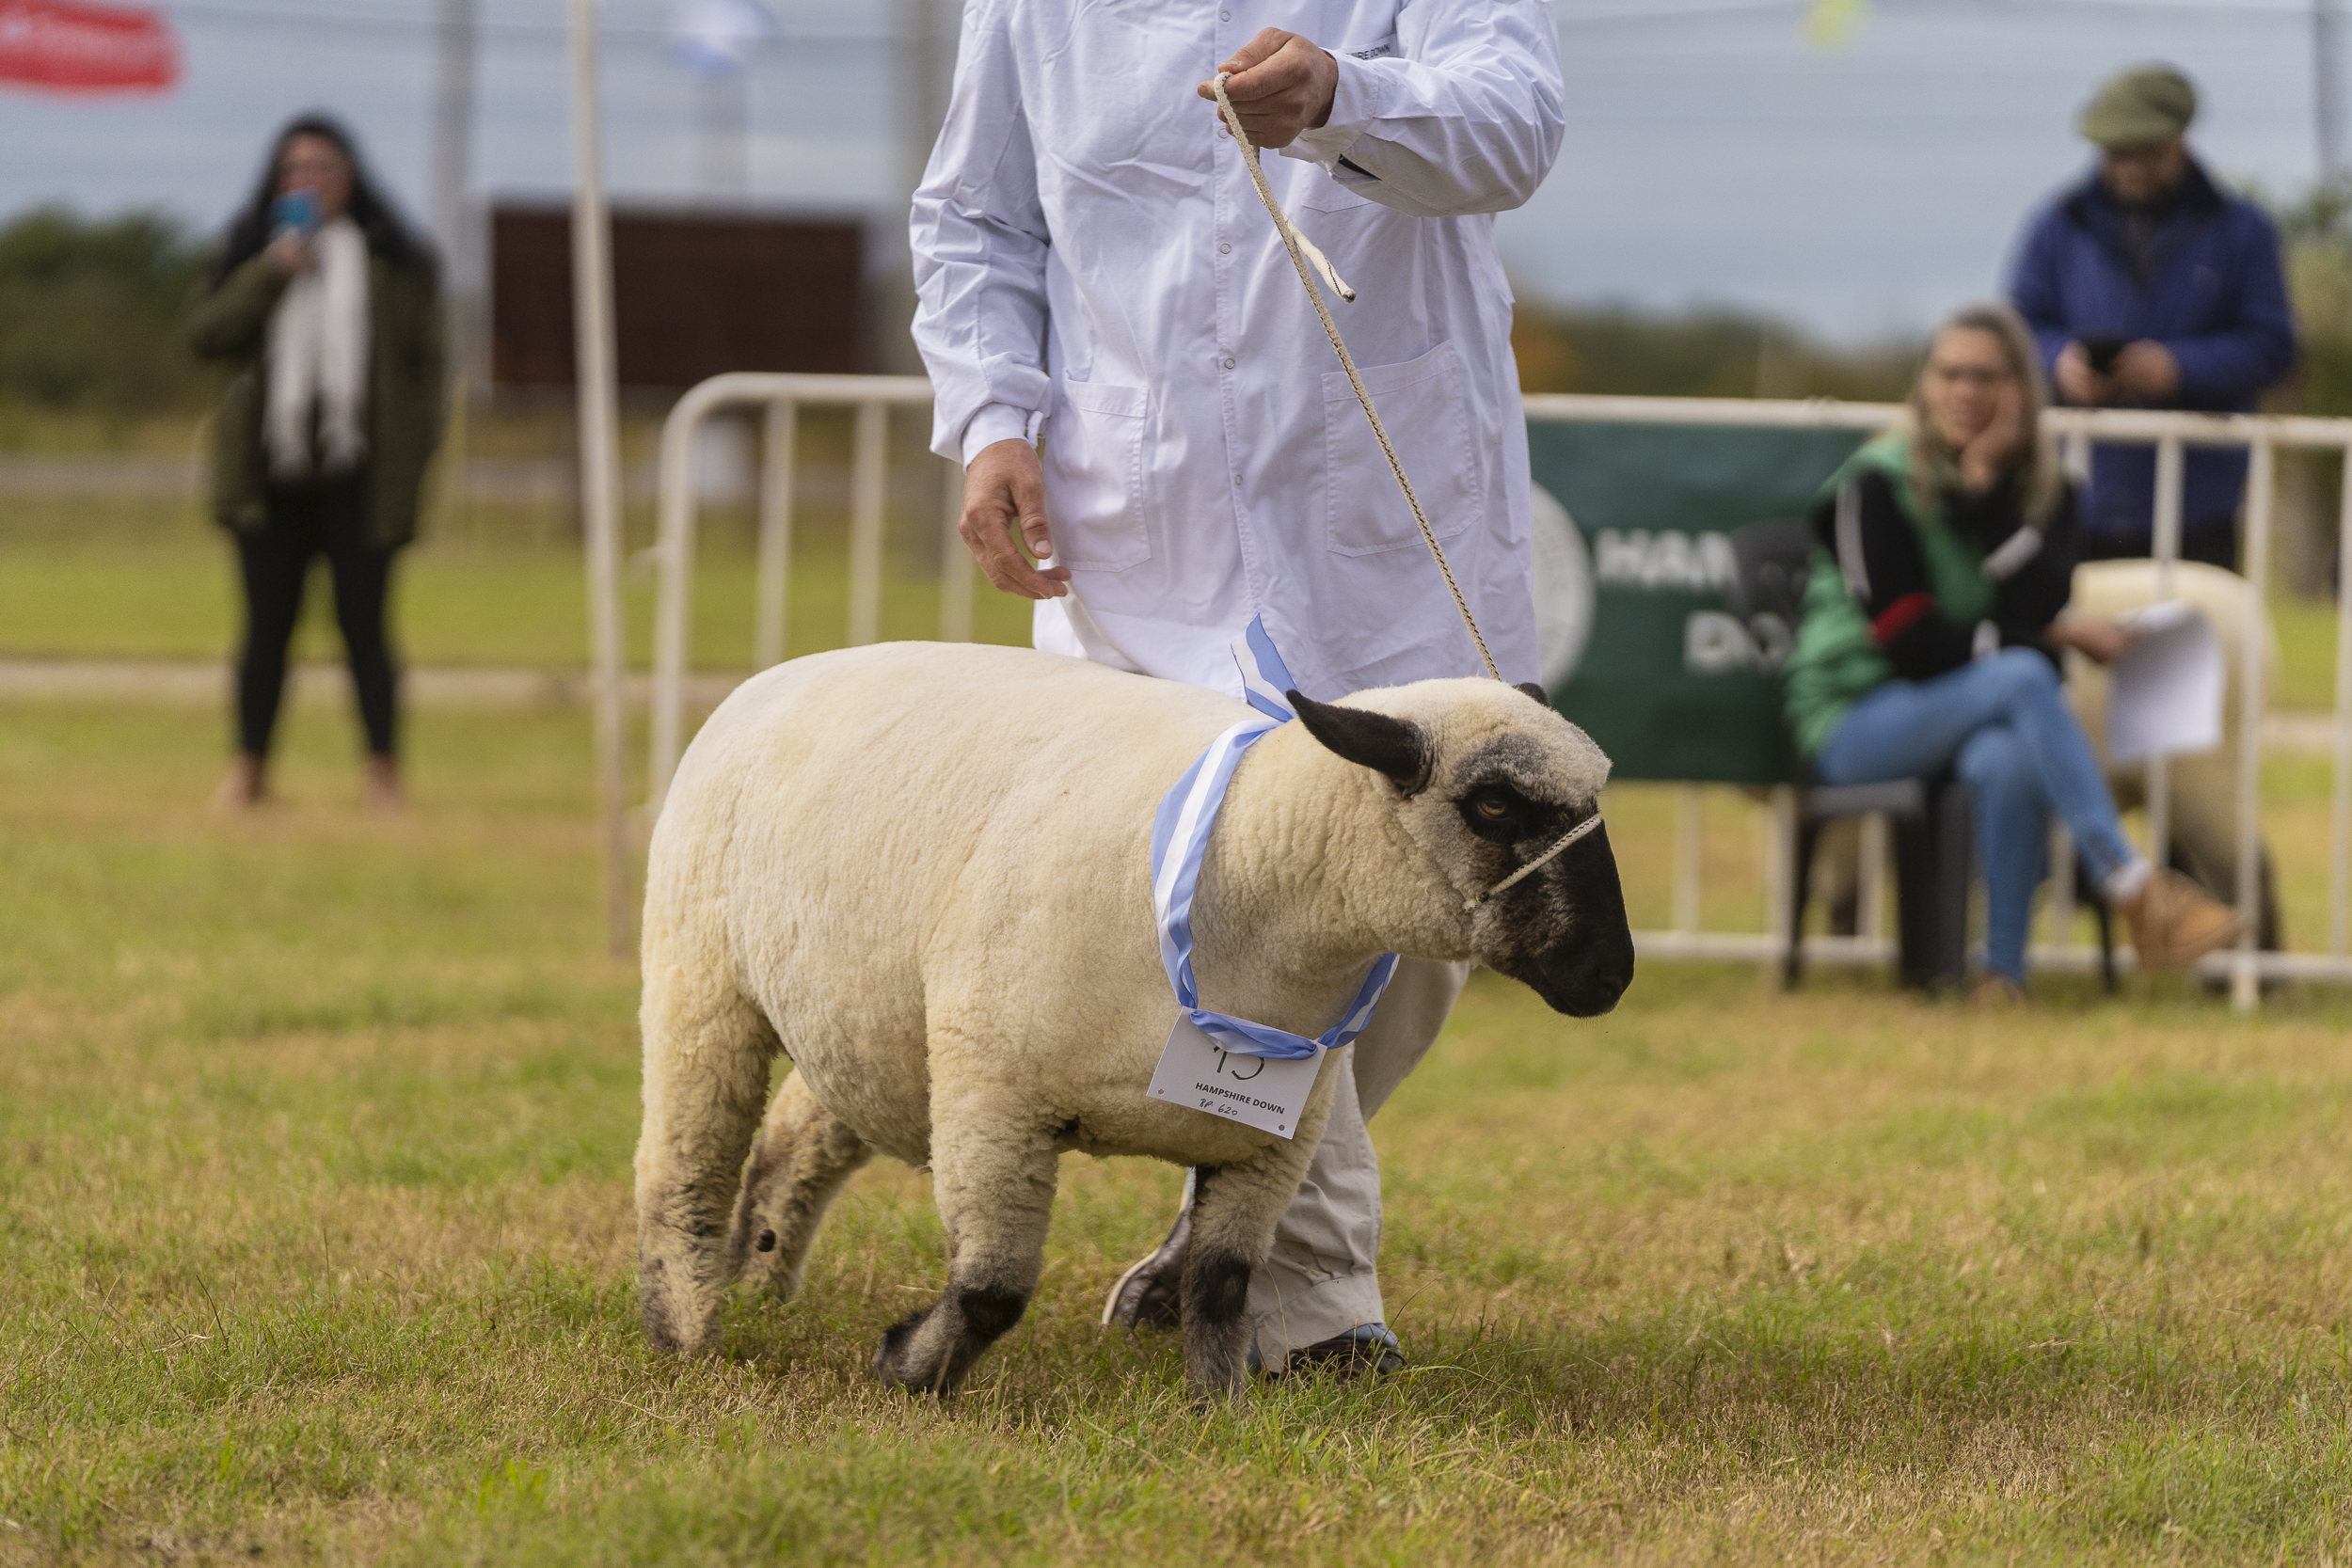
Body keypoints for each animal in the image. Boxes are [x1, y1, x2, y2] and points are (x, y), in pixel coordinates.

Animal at [640, 639, 1637, 1401]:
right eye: (1494, 804)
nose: (1612, 972)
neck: (1256, 869)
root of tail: (784, 669)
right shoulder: (996, 1100)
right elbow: (992, 1288)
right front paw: (908, 1372)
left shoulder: (1268, 1143)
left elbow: (1221, 1285)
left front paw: (1220, 1409)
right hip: (702, 980)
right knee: (684, 1162)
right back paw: (683, 1328)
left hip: (875, 1025)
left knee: (794, 1141)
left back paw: (760, 1275)